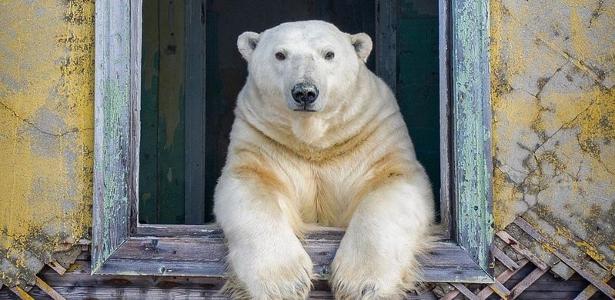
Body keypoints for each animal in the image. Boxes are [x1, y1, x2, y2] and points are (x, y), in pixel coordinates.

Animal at [214, 19, 436, 298]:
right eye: (280, 54)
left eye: (329, 54)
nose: (305, 92)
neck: (315, 142)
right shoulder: (261, 139)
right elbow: (251, 185)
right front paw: (284, 284)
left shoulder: (373, 133)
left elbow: (392, 183)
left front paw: (360, 284)